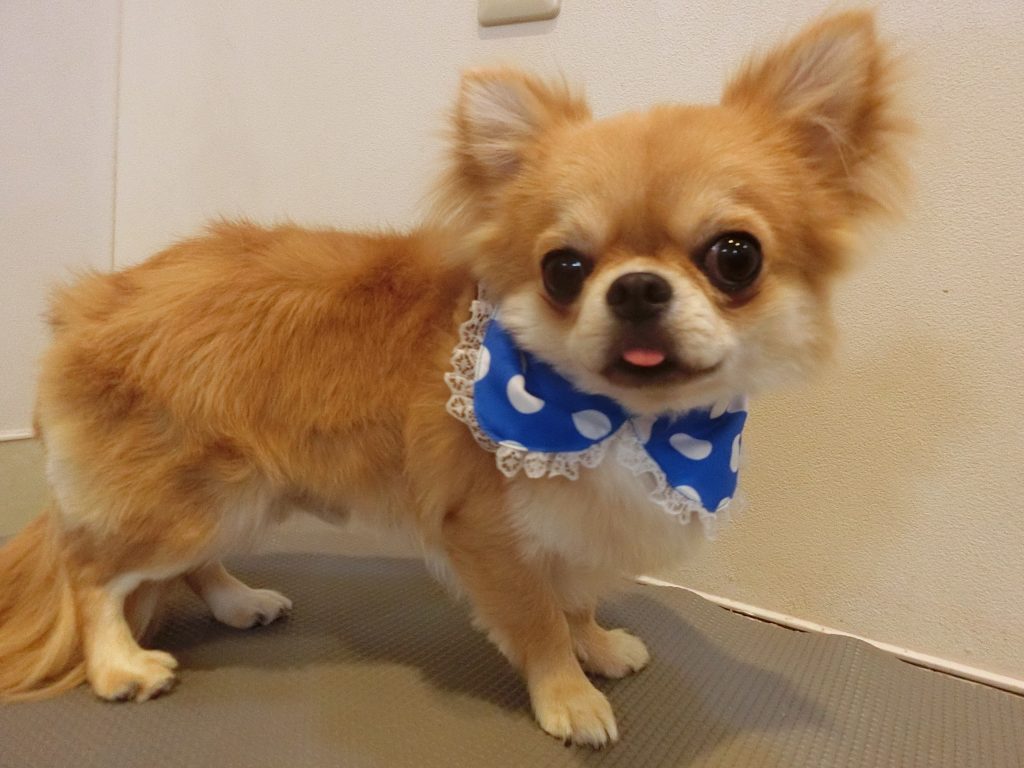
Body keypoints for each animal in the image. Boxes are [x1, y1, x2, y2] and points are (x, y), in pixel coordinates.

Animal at [0, 11, 908, 746]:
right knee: (92, 573)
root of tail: (90, 303)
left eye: (735, 256)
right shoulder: (486, 533)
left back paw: (237, 601)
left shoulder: (572, 528)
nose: (638, 288)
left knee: (179, 568)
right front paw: (568, 697)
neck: (620, 421)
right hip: (189, 502)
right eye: (563, 268)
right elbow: (539, 620)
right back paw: (120, 667)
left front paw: (598, 645)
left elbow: (575, 599)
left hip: (236, 498)